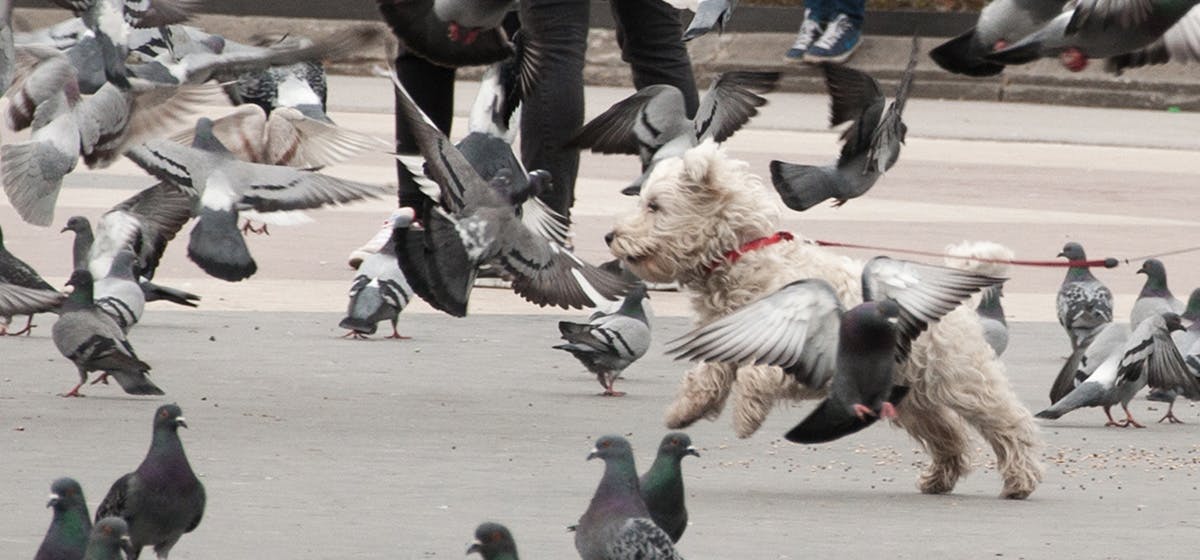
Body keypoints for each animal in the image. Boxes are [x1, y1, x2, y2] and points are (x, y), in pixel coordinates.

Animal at [609, 140, 1041, 498]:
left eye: (654, 206)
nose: (610, 236)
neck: (744, 257)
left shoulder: (803, 353)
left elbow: (756, 374)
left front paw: (747, 416)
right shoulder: (724, 338)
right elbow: (708, 375)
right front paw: (686, 410)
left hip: (962, 379)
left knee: (1009, 422)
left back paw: (1021, 479)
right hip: (913, 395)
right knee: (948, 434)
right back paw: (939, 479)